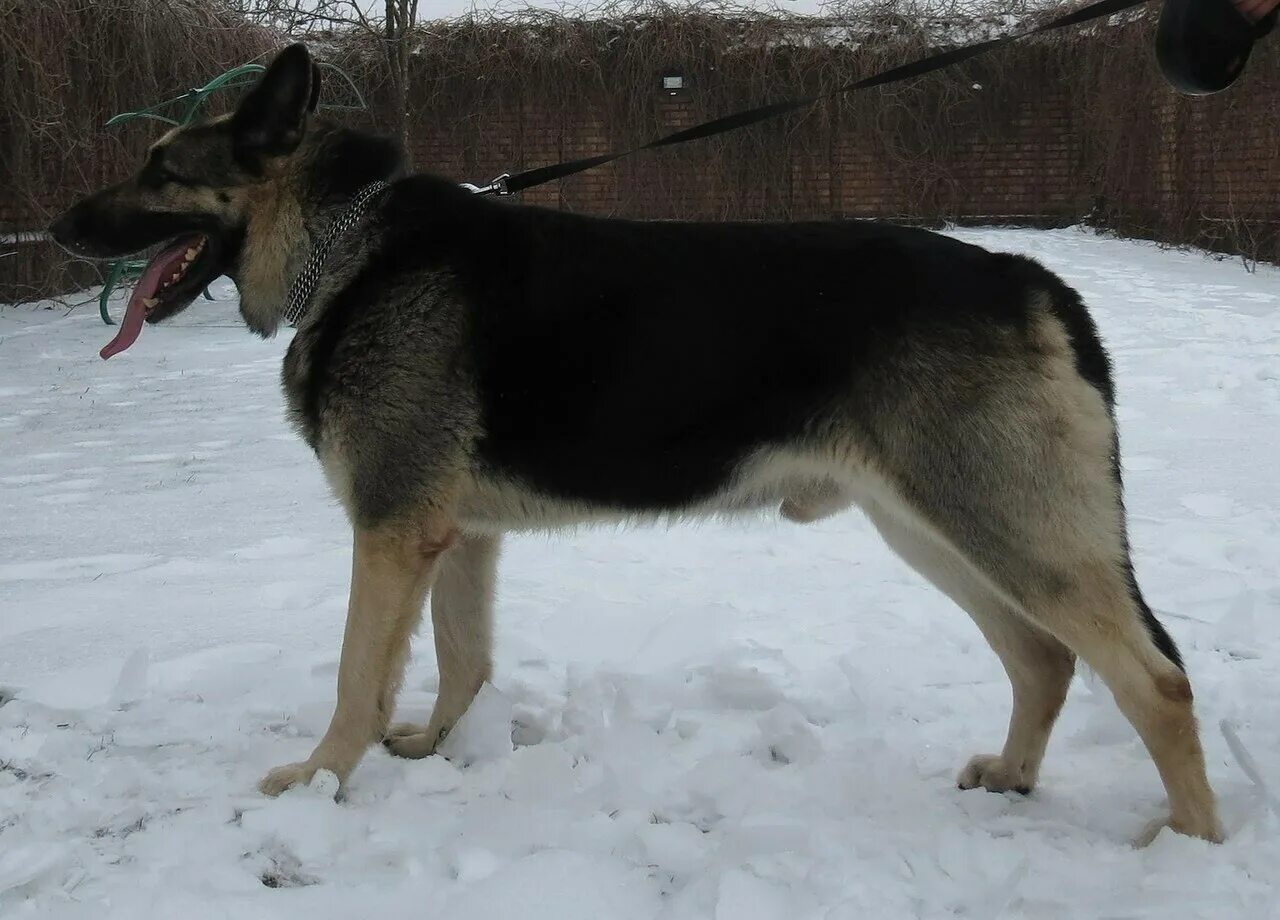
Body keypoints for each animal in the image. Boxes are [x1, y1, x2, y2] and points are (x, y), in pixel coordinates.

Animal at [49, 46, 1223, 844]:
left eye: (161, 167)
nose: (57, 227)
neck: (349, 244)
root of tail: (1031, 278)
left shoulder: (389, 534)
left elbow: (354, 677)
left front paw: (320, 780)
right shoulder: (454, 539)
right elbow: (462, 659)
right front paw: (433, 751)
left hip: (1006, 532)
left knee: (1155, 681)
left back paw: (1192, 841)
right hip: (936, 530)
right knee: (1044, 655)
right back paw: (1017, 776)